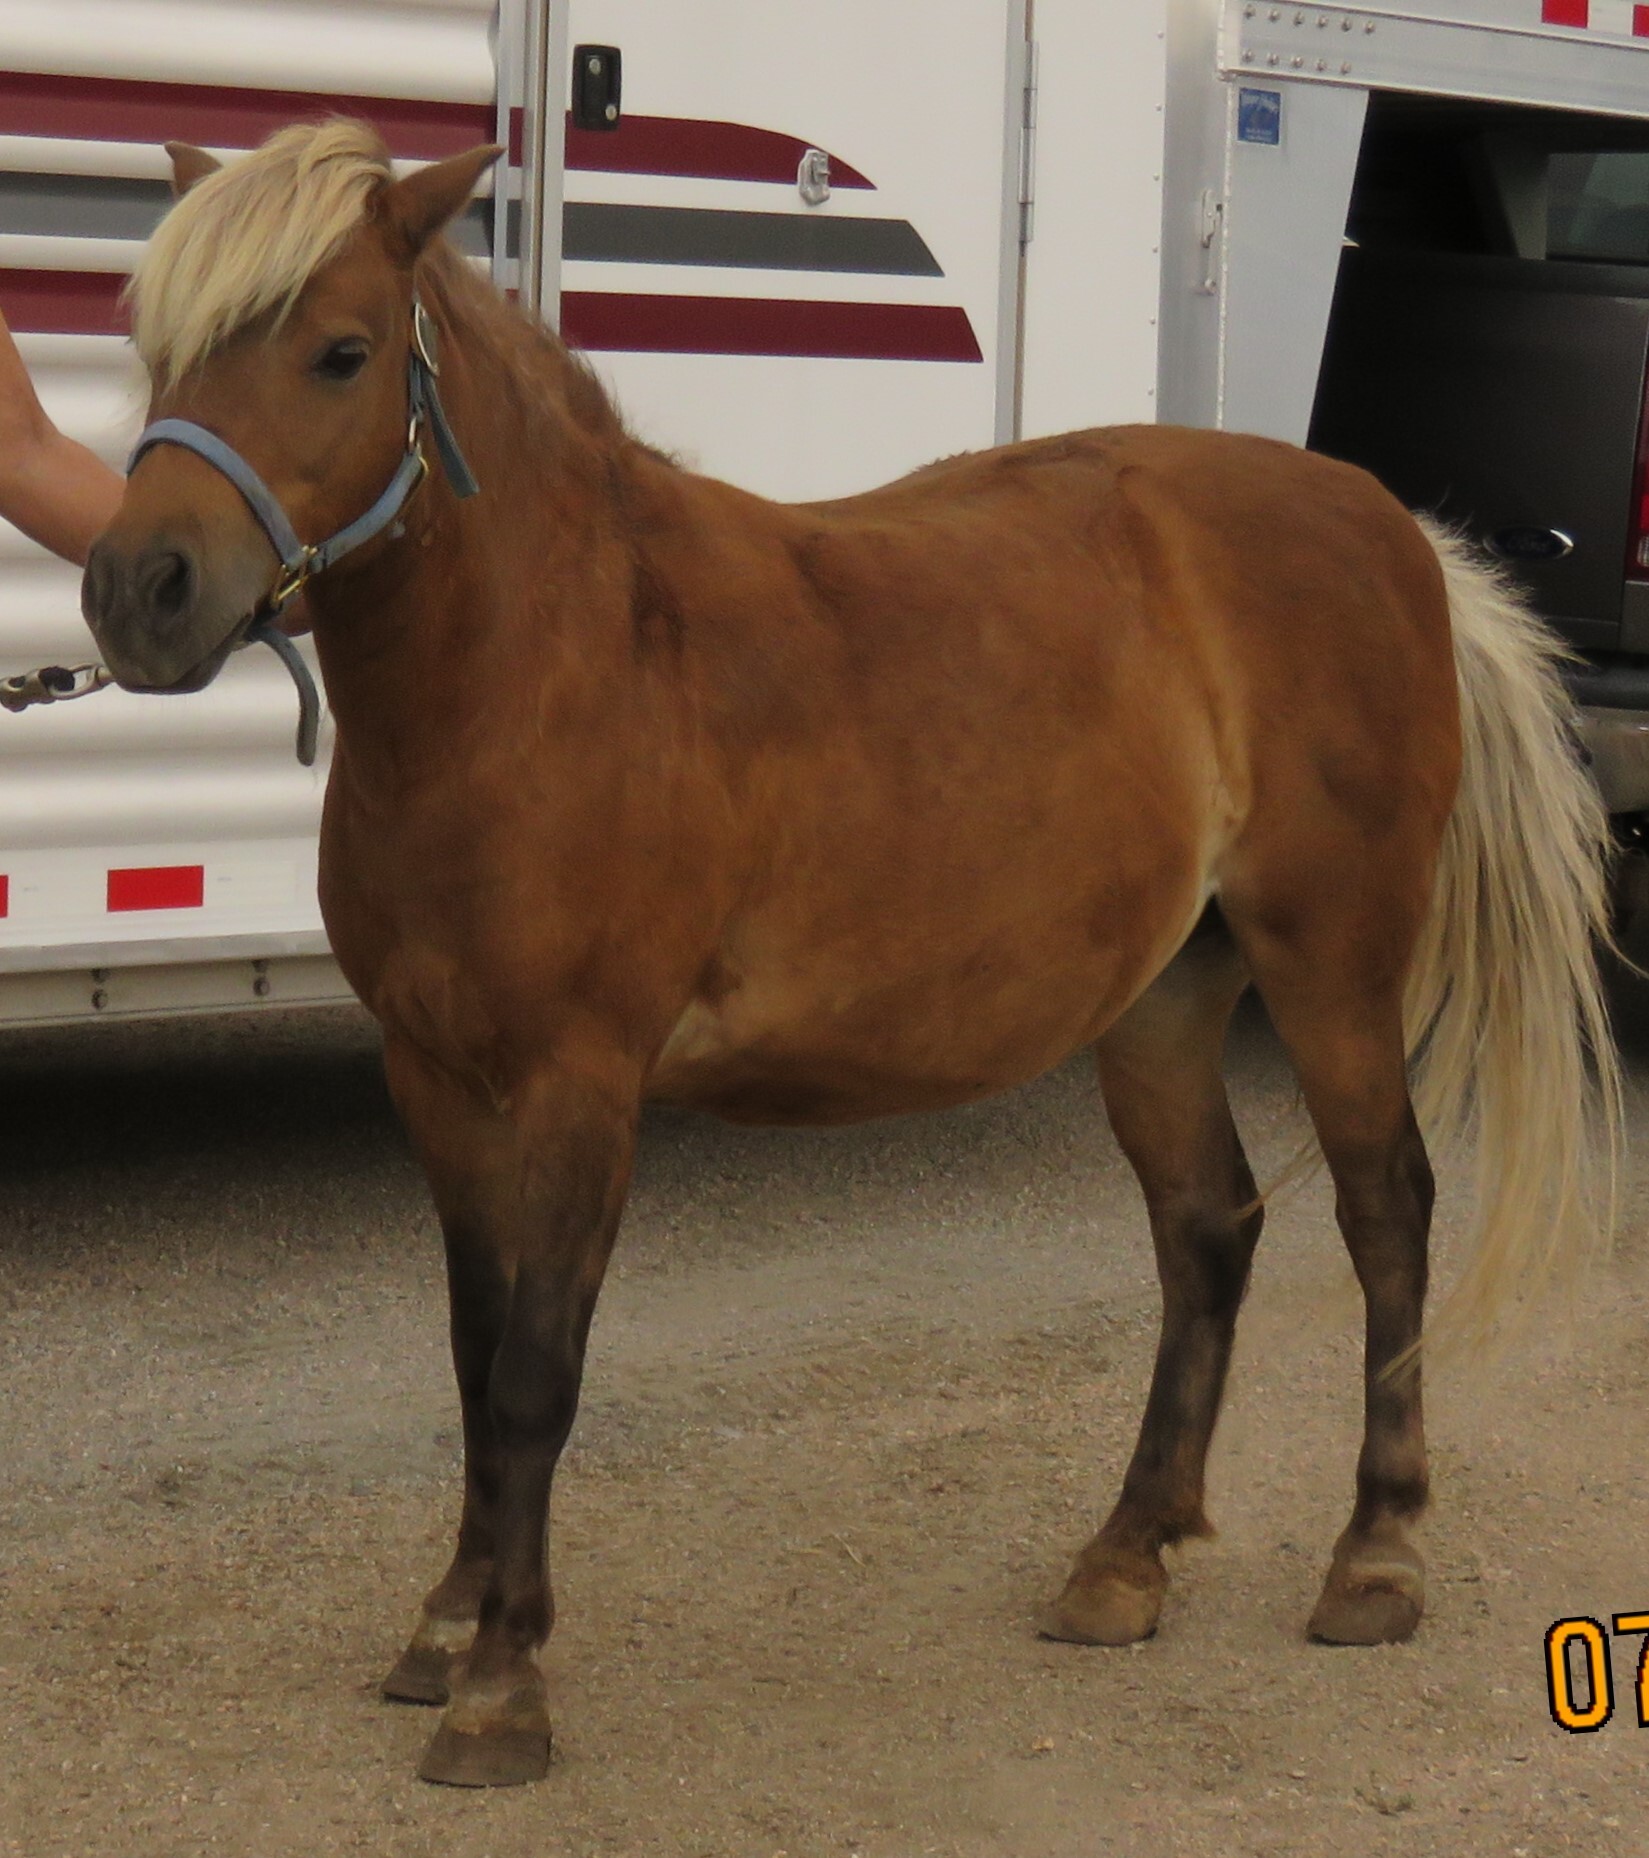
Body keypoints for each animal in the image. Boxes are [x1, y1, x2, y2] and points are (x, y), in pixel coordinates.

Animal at [80, 120, 1620, 1788]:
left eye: (340, 352)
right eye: (157, 347)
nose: (137, 592)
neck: (563, 664)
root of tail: (1391, 526)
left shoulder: (579, 1085)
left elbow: (535, 1372)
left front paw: (502, 1684)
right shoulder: (434, 1077)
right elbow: (474, 1353)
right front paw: (444, 1623)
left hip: (1332, 961)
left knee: (1386, 1210)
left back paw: (1375, 1554)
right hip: (1160, 999)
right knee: (1207, 1227)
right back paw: (1125, 1555)